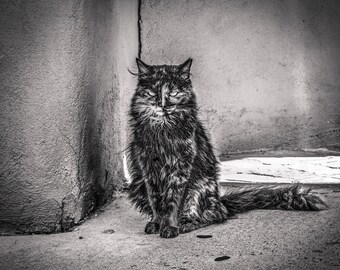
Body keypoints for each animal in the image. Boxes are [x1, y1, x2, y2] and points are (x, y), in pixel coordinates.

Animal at [127, 58, 326, 238]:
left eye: (174, 92)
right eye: (153, 93)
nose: (163, 105)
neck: (162, 129)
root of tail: (220, 200)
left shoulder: (180, 167)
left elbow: (171, 201)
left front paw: (169, 227)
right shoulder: (148, 168)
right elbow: (155, 201)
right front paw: (156, 223)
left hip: (198, 189)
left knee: (212, 216)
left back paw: (185, 225)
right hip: (137, 186)